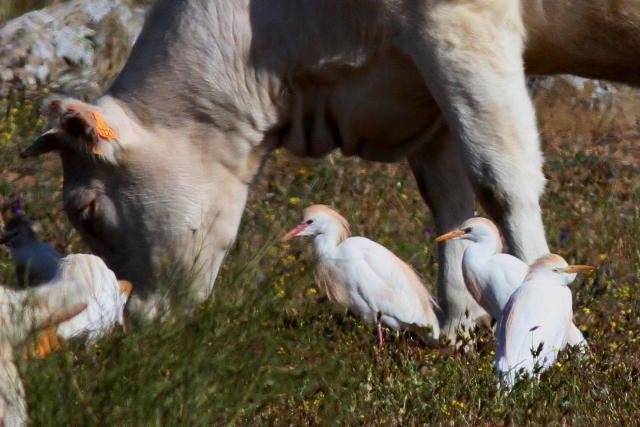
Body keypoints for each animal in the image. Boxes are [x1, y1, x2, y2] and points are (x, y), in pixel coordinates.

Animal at [21, 0, 640, 336]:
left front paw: (538, 315)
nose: (132, 318)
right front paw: (456, 327)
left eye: (87, 211)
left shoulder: (460, 29)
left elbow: (501, 181)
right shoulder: (416, 76)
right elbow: (447, 198)